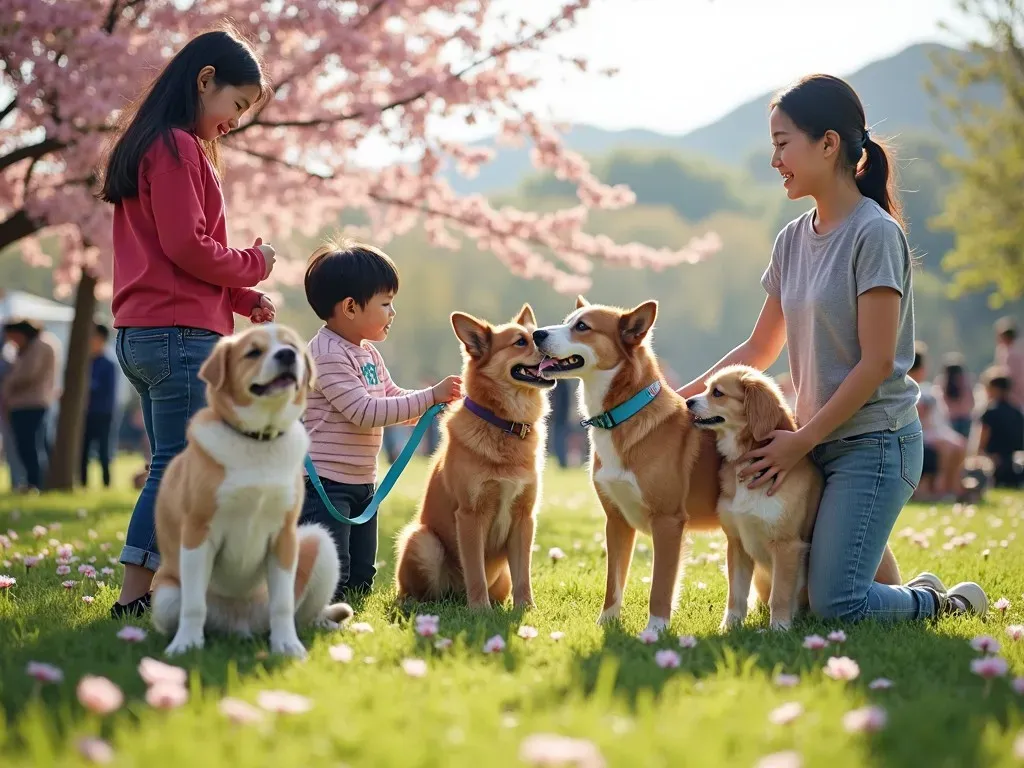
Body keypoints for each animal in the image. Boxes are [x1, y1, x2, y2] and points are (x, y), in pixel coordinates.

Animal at [149, 325, 352, 663]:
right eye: (253, 352)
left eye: (292, 346)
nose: (287, 355)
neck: (259, 442)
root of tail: (240, 627)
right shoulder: (197, 532)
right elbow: (194, 605)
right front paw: (186, 645)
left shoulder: (285, 536)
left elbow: (282, 605)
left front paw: (287, 646)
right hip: (165, 595)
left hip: (319, 542)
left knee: (302, 615)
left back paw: (324, 626)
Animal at [393, 303, 552, 610]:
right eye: (520, 341)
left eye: (535, 333)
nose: (545, 337)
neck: (505, 424)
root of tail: (455, 597)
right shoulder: (470, 515)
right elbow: (476, 570)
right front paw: (480, 611)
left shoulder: (525, 518)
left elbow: (524, 575)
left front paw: (526, 609)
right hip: (423, 541)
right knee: (417, 593)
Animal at [532, 296, 716, 638]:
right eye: (567, 321)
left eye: (582, 326)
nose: (536, 334)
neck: (619, 417)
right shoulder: (616, 521)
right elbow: (614, 583)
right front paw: (606, 623)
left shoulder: (668, 523)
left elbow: (660, 588)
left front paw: (655, 630)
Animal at [688, 366, 905, 630]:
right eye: (707, 388)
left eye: (717, 392)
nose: (688, 402)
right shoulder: (737, 542)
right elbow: (736, 594)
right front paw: (729, 627)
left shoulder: (787, 545)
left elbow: (780, 595)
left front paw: (778, 629)